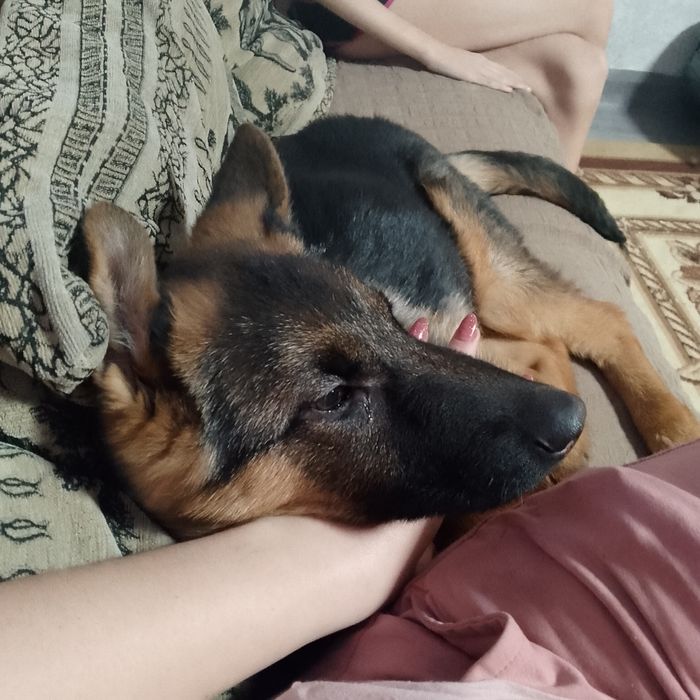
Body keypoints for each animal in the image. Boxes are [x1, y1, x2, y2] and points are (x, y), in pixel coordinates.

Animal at [82, 115, 700, 540]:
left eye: (387, 317)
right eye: (333, 398)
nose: (571, 421)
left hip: (493, 284)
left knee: (603, 321)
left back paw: (670, 425)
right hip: (467, 311)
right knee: (543, 346)